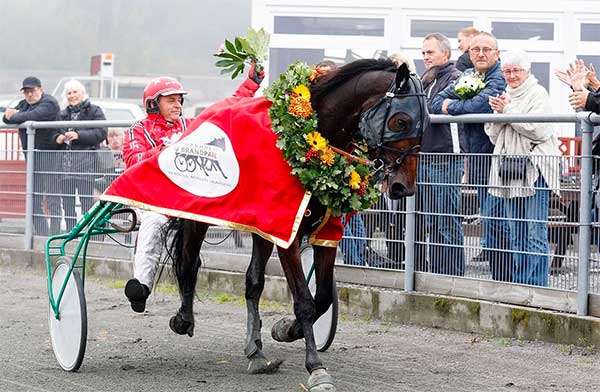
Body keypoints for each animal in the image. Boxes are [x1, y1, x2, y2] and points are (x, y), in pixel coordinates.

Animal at [164, 59, 426, 392]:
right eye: (401, 121)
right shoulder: (287, 236)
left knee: (252, 282)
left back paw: (255, 351)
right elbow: (304, 301)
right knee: (188, 262)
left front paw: (287, 329)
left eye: (427, 124)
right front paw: (316, 368)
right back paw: (183, 319)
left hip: (261, 230)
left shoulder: (324, 234)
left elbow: (322, 297)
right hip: (201, 210)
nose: (404, 187)